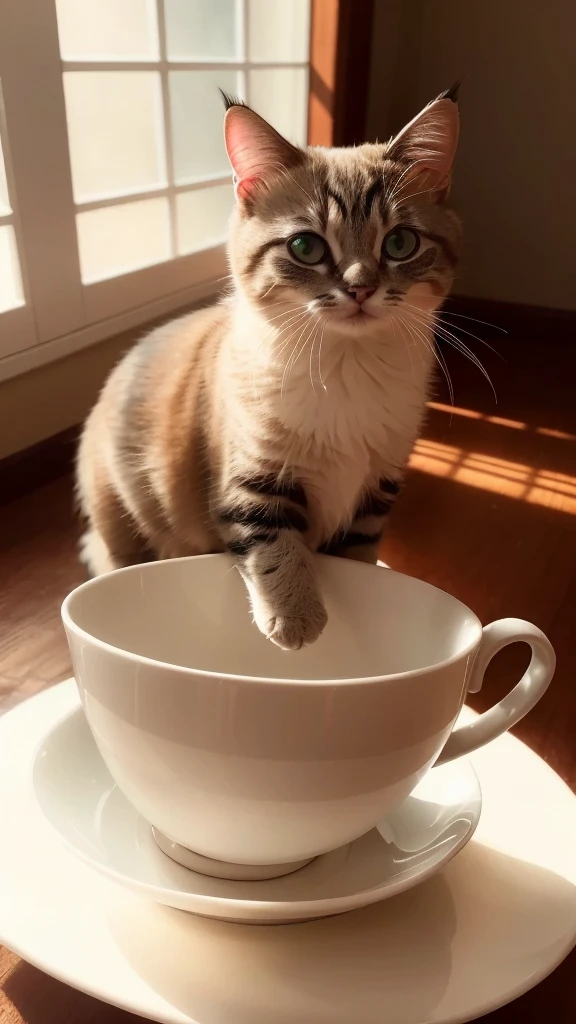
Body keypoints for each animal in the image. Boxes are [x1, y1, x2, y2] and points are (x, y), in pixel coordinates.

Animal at [76, 86, 459, 647]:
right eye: (305, 246)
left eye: (400, 243)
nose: (360, 288)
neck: (346, 365)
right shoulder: (252, 477)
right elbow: (272, 542)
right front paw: (297, 617)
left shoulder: (376, 489)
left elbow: (358, 557)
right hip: (124, 516)